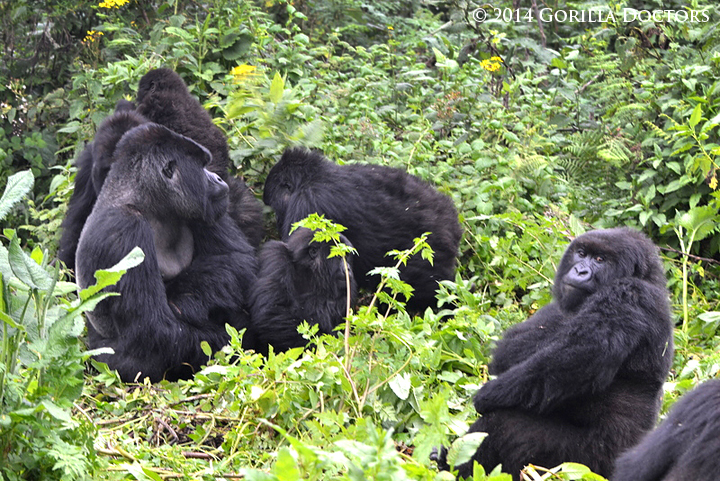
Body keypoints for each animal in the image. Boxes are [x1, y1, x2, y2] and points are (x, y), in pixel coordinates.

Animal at [75, 124, 256, 382]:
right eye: (202, 166)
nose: (219, 178)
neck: (147, 203)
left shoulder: (207, 206)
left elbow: (236, 259)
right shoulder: (123, 232)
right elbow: (154, 329)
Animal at [434, 227, 676, 478]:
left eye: (600, 260)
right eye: (582, 253)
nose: (579, 270)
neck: (647, 278)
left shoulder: (628, 294)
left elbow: (573, 360)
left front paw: (486, 396)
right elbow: (512, 348)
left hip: (586, 464)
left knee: (502, 425)